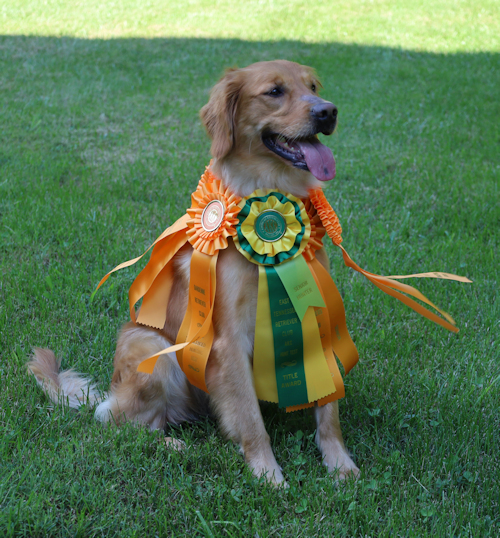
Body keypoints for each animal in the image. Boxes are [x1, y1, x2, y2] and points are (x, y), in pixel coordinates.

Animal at [28, 60, 360, 484]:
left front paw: (340, 463)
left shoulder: (316, 316)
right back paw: (176, 446)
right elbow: (251, 420)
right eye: (274, 91)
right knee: (123, 424)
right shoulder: (228, 340)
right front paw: (268, 474)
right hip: (151, 348)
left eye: (313, 86)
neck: (269, 198)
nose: (328, 112)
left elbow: (329, 410)